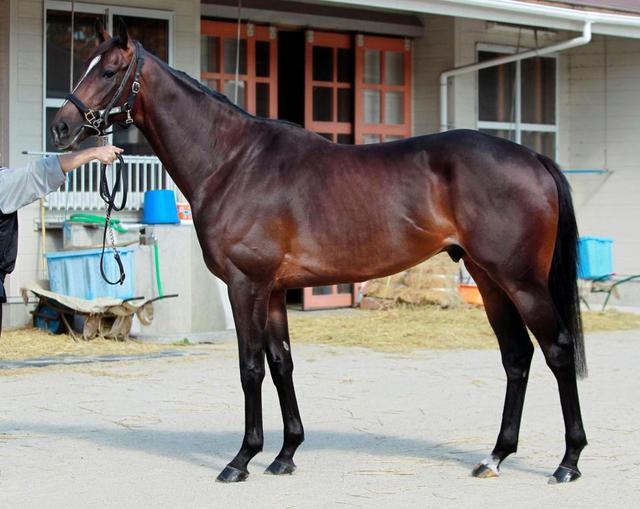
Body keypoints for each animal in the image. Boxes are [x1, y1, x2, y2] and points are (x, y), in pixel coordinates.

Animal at [51, 22, 587, 484]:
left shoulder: (246, 284)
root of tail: (533, 157)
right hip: (490, 279)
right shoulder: (272, 291)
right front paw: (285, 454)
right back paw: (495, 456)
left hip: (522, 281)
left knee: (557, 350)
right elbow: (281, 363)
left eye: (109, 71)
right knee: (516, 356)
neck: (232, 162)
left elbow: (250, 367)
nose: (61, 127)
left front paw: (241, 460)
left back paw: (568, 462)